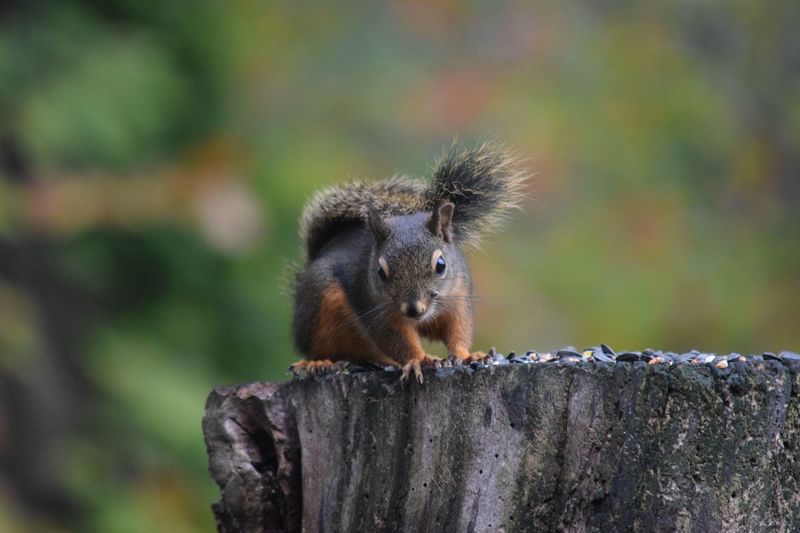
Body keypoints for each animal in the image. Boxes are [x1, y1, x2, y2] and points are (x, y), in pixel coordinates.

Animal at [290, 142, 528, 382]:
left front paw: (468, 355)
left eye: (441, 265)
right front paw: (420, 360)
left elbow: (457, 330)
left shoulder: (458, 298)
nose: (414, 309)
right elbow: (397, 340)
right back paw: (319, 363)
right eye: (380, 272)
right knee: (318, 347)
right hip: (317, 307)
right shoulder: (376, 310)